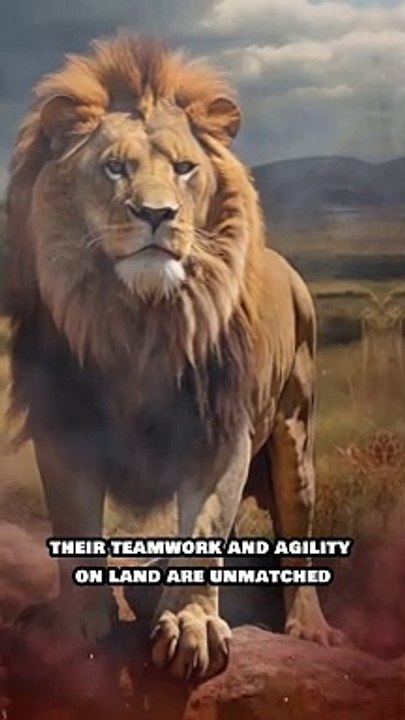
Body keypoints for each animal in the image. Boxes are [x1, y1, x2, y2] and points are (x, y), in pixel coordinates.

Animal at [5, 35, 343, 679]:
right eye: (115, 167)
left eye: (184, 169)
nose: (157, 214)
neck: (143, 321)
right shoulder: (64, 425)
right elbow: (73, 525)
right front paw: (77, 624)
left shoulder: (222, 428)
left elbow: (205, 526)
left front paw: (191, 624)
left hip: (298, 436)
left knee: (298, 534)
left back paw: (310, 628)